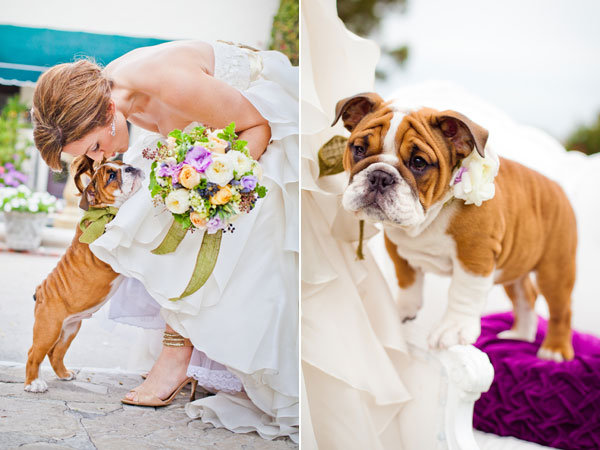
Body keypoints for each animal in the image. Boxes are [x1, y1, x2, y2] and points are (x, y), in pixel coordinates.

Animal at [25, 161, 145, 390]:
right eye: (111, 176)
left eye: (124, 164)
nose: (131, 168)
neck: (103, 211)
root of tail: (39, 293)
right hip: (49, 329)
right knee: (34, 353)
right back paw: (34, 383)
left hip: (70, 329)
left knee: (56, 353)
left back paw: (64, 374)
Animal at [332, 94, 576, 362]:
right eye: (359, 149)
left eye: (418, 162)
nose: (380, 176)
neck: (428, 218)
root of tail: (556, 186)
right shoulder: (397, 249)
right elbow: (407, 282)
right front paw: (404, 312)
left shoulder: (474, 255)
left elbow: (463, 293)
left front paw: (453, 329)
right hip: (514, 266)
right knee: (526, 296)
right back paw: (520, 336)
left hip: (555, 269)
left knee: (561, 310)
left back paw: (553, 350)